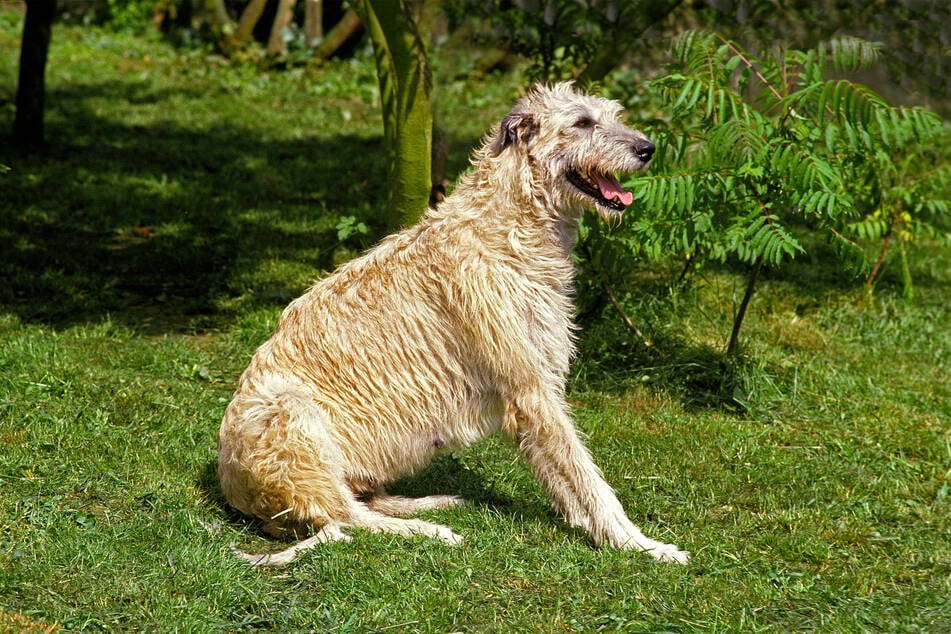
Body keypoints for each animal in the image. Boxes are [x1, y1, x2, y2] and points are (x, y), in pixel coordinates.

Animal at [218, 82, 688, 564]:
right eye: (582, 122)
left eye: (612, 115)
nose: (648, 149)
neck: (509, 225)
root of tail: (234, 491)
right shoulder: (528, 387)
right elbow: (584, 472)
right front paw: (637, 542)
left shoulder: (539, 380)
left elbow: (561, 469)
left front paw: (591, 525)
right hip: (291, 414)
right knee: (346, 520)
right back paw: (427, 530)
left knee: (357, 504)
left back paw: (429, 502)